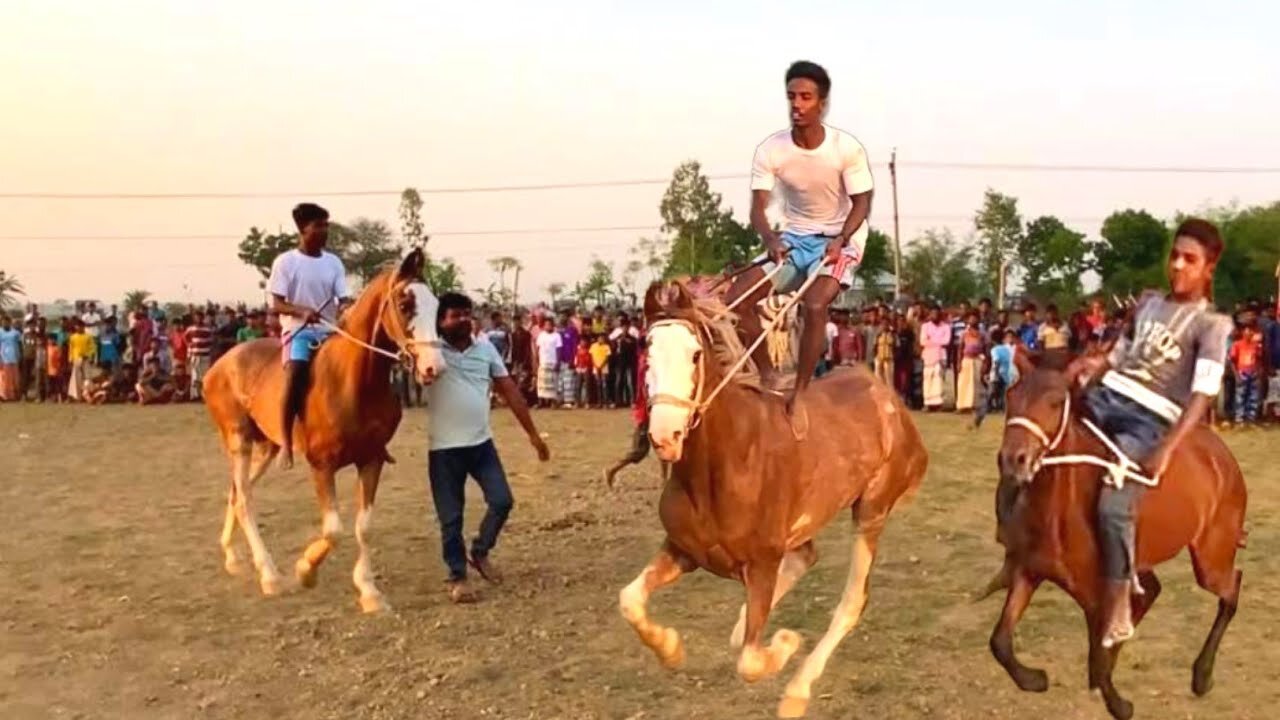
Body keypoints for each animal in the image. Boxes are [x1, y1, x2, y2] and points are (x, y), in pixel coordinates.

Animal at [198, 249, 440, 607]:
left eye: (436, 304)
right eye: (405, 303)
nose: (433, 367)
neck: (353, 382)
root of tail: (218, 365)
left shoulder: (371, 460)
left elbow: (364, 527)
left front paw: (369, 591)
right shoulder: (322, 466)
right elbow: (334, 530)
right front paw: (305, 570)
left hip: (266, 446)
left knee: (237, 493)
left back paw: (232, 556)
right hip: (238, 439)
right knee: (243, 500)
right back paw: (269, 574)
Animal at [616, 279, 926, 712]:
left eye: (695, 354)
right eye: (647, 351)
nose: (665, 436)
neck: (726, 463)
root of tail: (889, 397)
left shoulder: (763, 562)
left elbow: (749, 660)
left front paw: (785, 642)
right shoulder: (683, 549)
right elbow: (629, 600)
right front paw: (671, 649)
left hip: (872, 511)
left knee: (851, 602)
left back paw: (796, 692)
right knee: (806, 557)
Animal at [988, 351, 1249, 717]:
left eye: (1055, 402)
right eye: (1011, 396)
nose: (1014, 459)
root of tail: (1220, 454)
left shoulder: (1097, 594)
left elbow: (1098, 658)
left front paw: (1119, 703)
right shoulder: (1030, 571)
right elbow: (1000, 641)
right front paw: (1035, 679)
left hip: (1211, 559)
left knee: (1231, 588)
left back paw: (1201, 675)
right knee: (1153, 591)